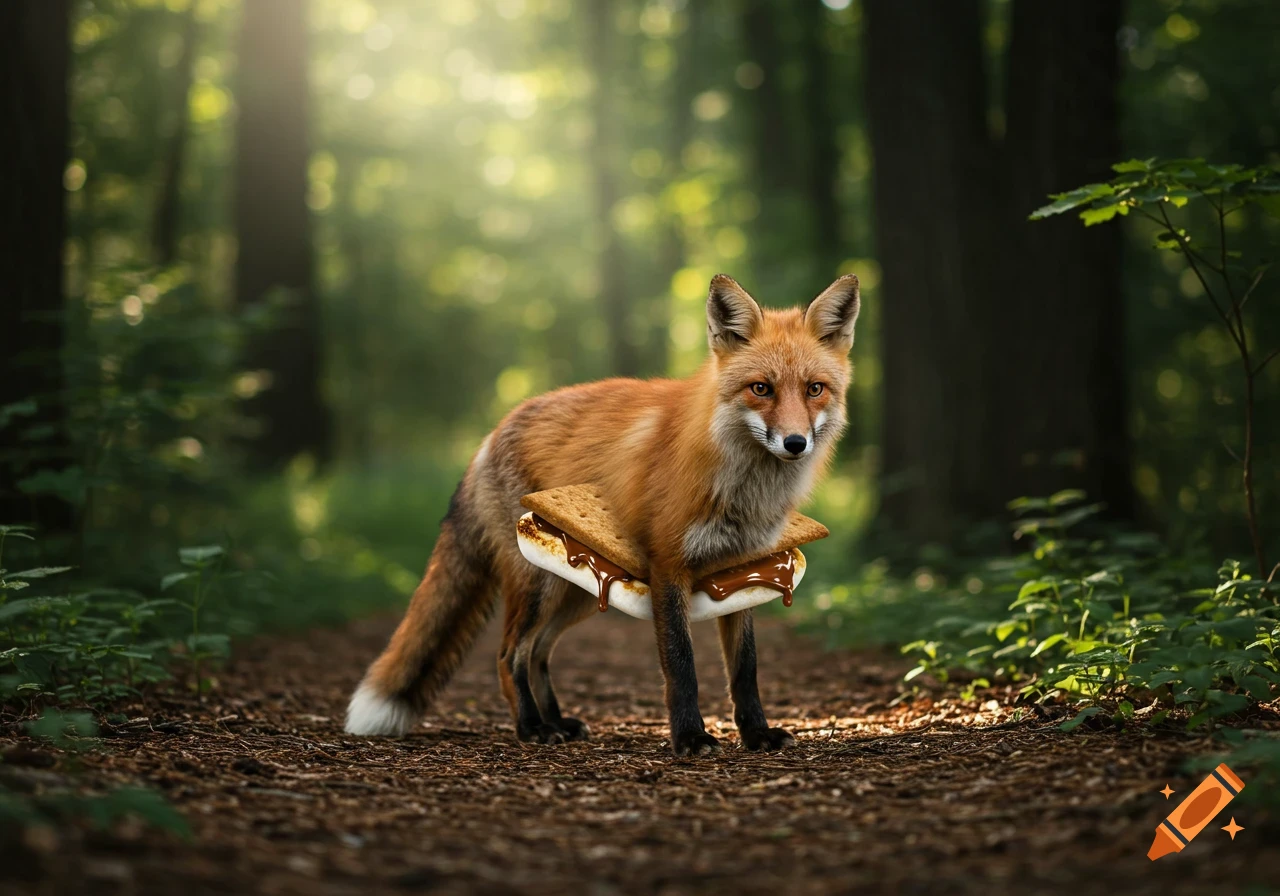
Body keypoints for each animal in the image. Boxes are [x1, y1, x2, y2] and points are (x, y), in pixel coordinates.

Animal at [344, 273, 860, 756]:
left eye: (814, 389)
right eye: (761, 389)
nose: (795, 443)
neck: (742, 489)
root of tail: (492, 433)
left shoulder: (742, 570)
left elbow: (745, 669)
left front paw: (756, 734)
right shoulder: (667, 567)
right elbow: (682, 666)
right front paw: (690, 738)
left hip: (579, 589)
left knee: (538, 653)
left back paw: (557, 722)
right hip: (538, 586)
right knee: (509, 655)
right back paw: (532, 728)